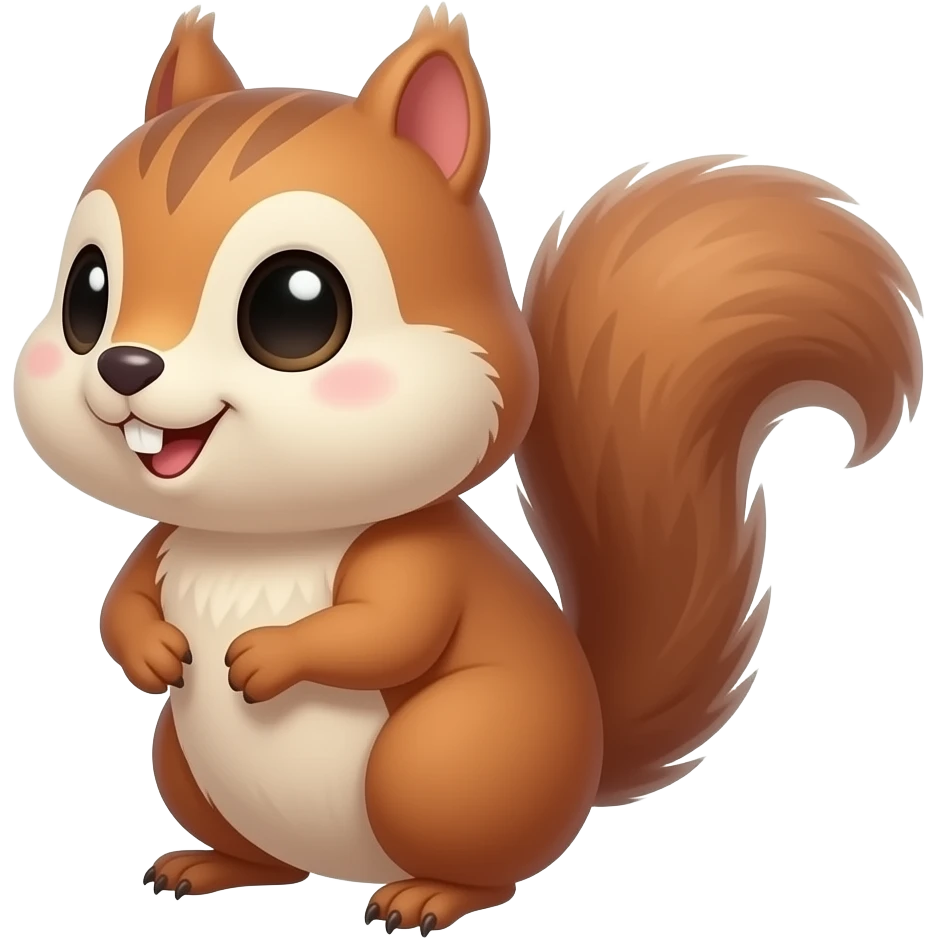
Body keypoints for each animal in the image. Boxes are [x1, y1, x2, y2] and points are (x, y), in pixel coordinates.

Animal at [13, 4, 925, 933]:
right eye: (86, 295)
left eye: (296, 307)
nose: (125, 366)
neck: (266, 539)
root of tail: (589, 762)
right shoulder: (164, 541)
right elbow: (121, 601)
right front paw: (153, 650)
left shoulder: (417, 560)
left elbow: (387, 630)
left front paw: (267, 655)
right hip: (186, 762)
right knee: (267, 858)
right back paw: (211, 864)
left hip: (444, 758)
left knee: (487, 865)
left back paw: (429, 896)